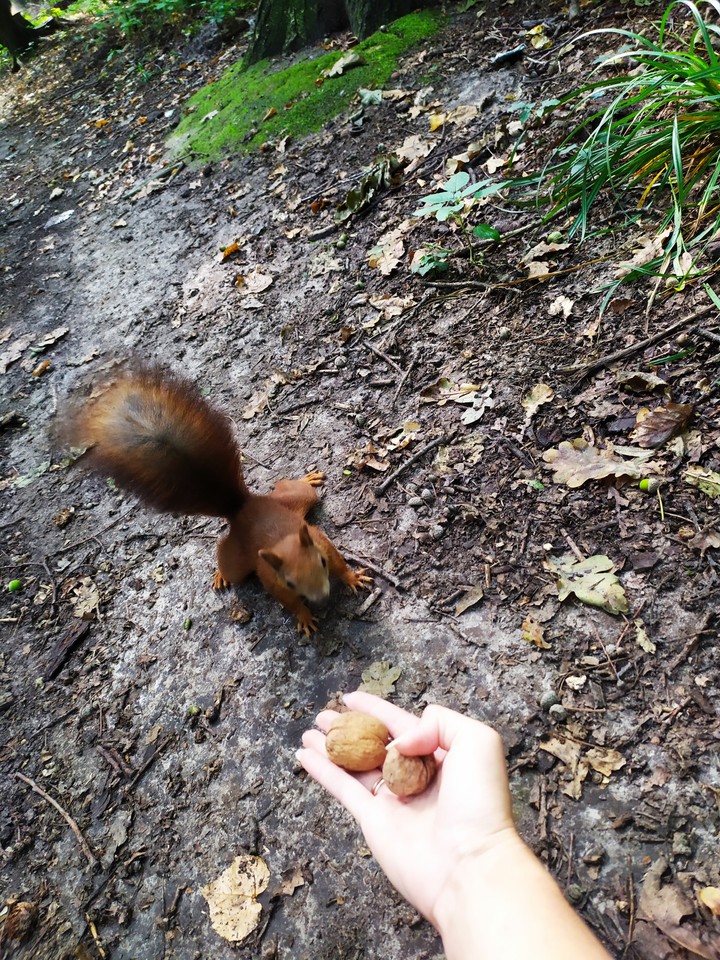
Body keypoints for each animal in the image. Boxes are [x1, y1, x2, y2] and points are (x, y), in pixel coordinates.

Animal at [70, 367, 372, 635]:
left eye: (320, 562)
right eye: (289, 582)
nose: (322, 599)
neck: (284, 541)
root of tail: (244, 506)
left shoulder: (321, 541)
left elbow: (339, 561)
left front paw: (353, 577)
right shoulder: (270, 576)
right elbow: (287, 601)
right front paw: (305, 616)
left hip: (293, 499)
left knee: (290, 487)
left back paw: (308, 478)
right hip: (238, 557)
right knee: (225, 555)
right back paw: (221, 574)